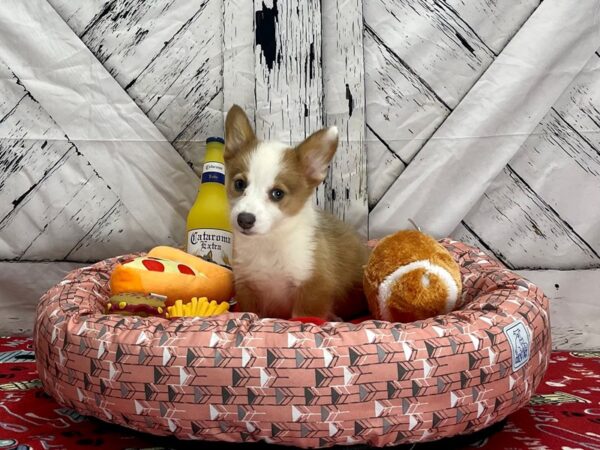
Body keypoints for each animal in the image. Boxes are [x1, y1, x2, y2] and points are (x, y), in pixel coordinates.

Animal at [223, 104, 368, 320]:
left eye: (277, 194)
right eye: (239, 184)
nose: (245, 219)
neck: (269, 242)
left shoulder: (313, 286)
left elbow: (303, 316)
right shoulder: (247, 286)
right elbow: (251, 311)